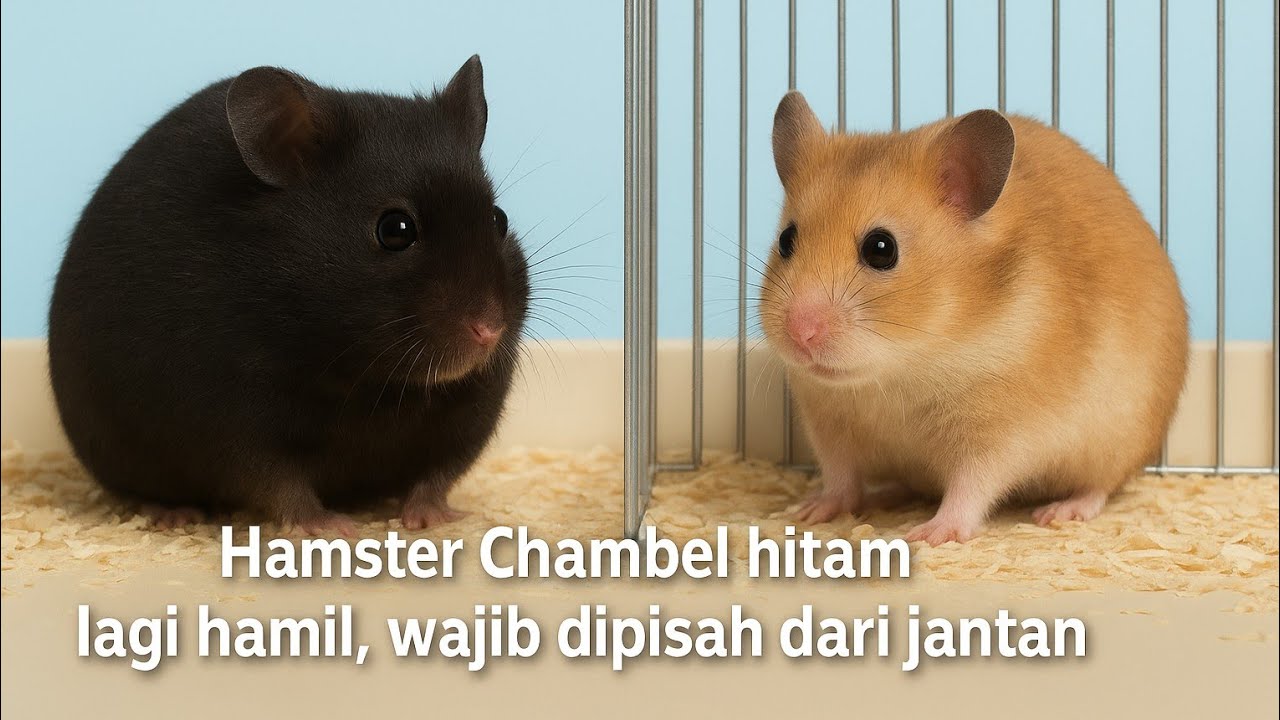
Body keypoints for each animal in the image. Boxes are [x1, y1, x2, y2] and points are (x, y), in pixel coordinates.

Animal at [47, 56, 529, 535]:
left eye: (498, 219)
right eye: (395, 229)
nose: (489, 331)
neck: (375, 382)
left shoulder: (473, 412)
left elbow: (438, 474)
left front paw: (435, 519)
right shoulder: (232, 420)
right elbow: (279, 485)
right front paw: (334, 529)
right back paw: (173, 516)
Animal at [762, 91, 1189, 545]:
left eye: (881, 249)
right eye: (786, 240)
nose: (800, 333)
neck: (900, 369)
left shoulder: (1001, 435)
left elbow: (971, 488)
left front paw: (929, 535)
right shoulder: (829, 424)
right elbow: (840, 478)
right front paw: (804, 513)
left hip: (1116, 443)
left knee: (1099, 487)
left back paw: (1058, 512)